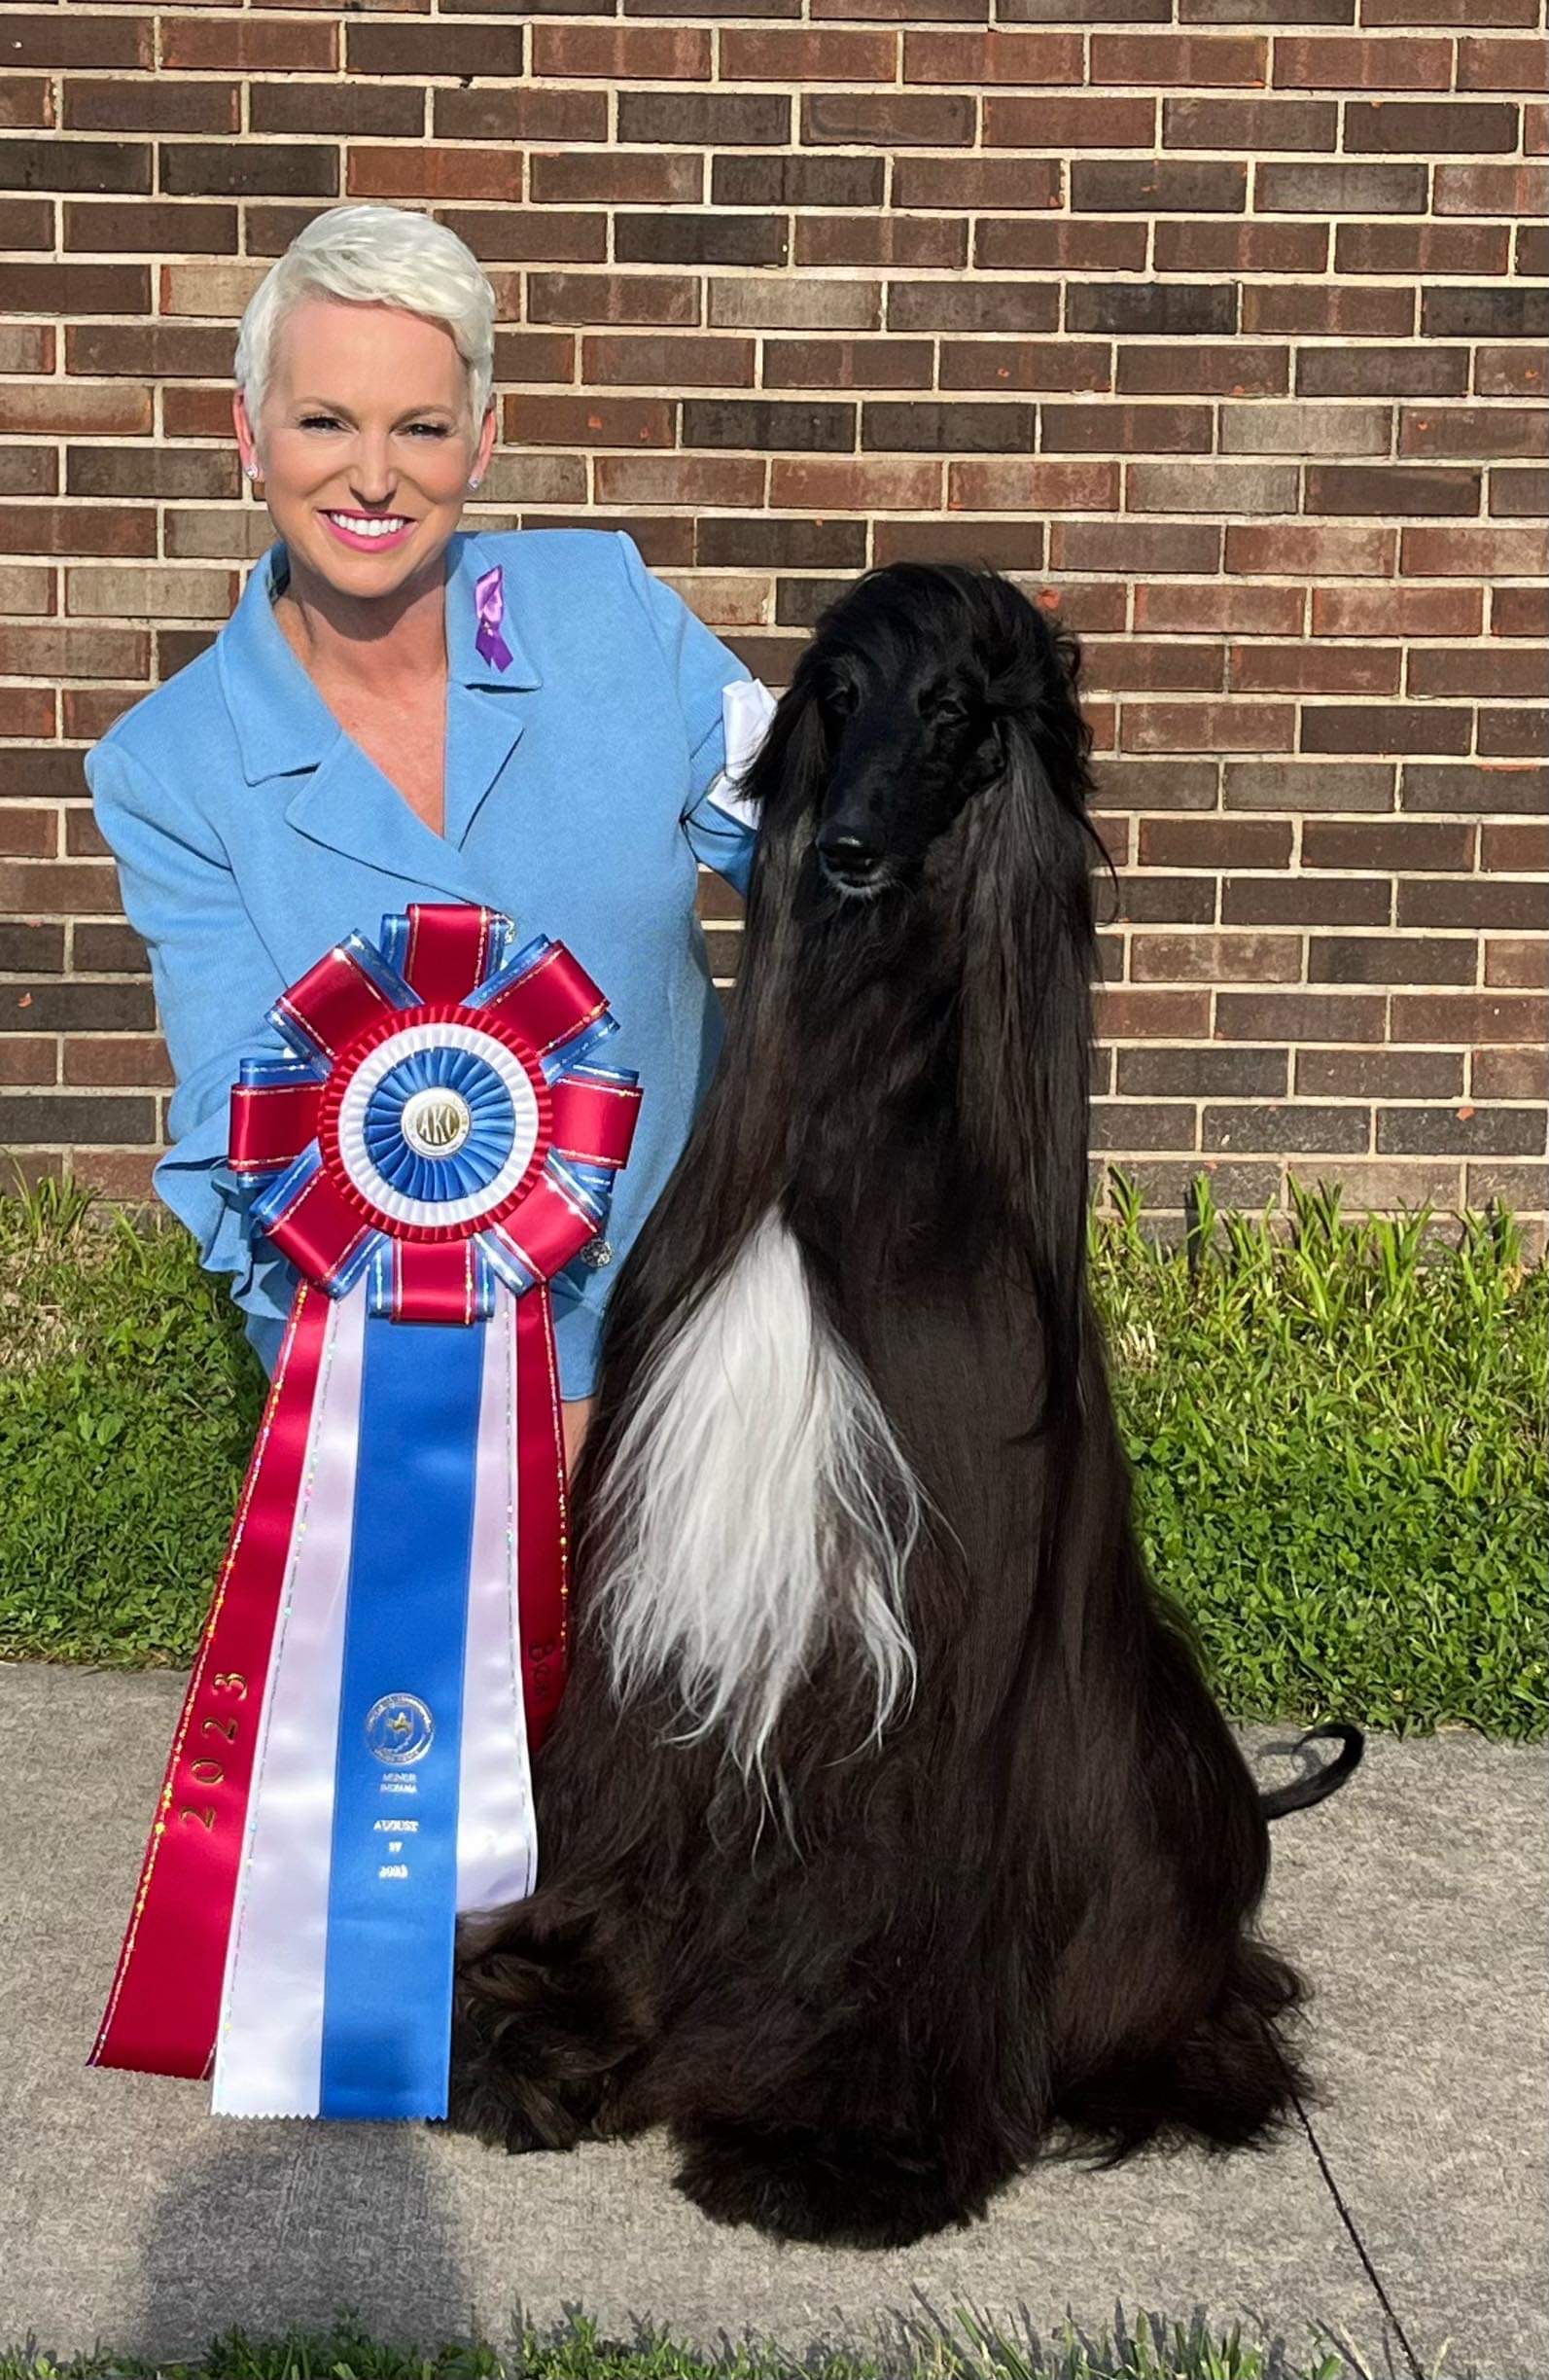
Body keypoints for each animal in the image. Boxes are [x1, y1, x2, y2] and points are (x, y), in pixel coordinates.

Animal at [448, 560, 1364, 2249]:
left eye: (956, 712)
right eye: (841, 693)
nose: (854, 850)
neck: (849, 1136)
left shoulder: (949, 1620)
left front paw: (842, 2136)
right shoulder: (673, 1584)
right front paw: (547, 2020)